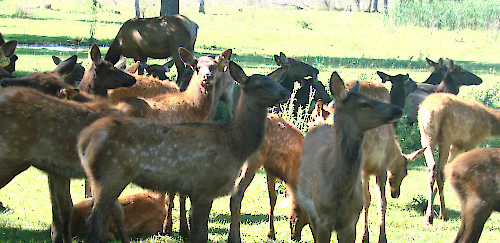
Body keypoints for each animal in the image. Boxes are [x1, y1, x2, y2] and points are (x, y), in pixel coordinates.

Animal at [76, 60, 292, 243]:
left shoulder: (198, 191)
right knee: (93, 222)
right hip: (111, 175)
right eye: (259, 85)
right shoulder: (204, 185)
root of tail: (85, 139)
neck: (234, 145)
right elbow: (199, 235)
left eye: (273, 81)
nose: (286, 92)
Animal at [418, 92, 500, 225]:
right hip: (445, 134)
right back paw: (443, 214)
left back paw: (429, 216)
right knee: (439, 170)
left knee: (432, 168)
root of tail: (431, 112)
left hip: (426, 135)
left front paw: (425, 205)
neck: (489, 125)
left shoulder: (456, 145)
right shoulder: (470, 142)